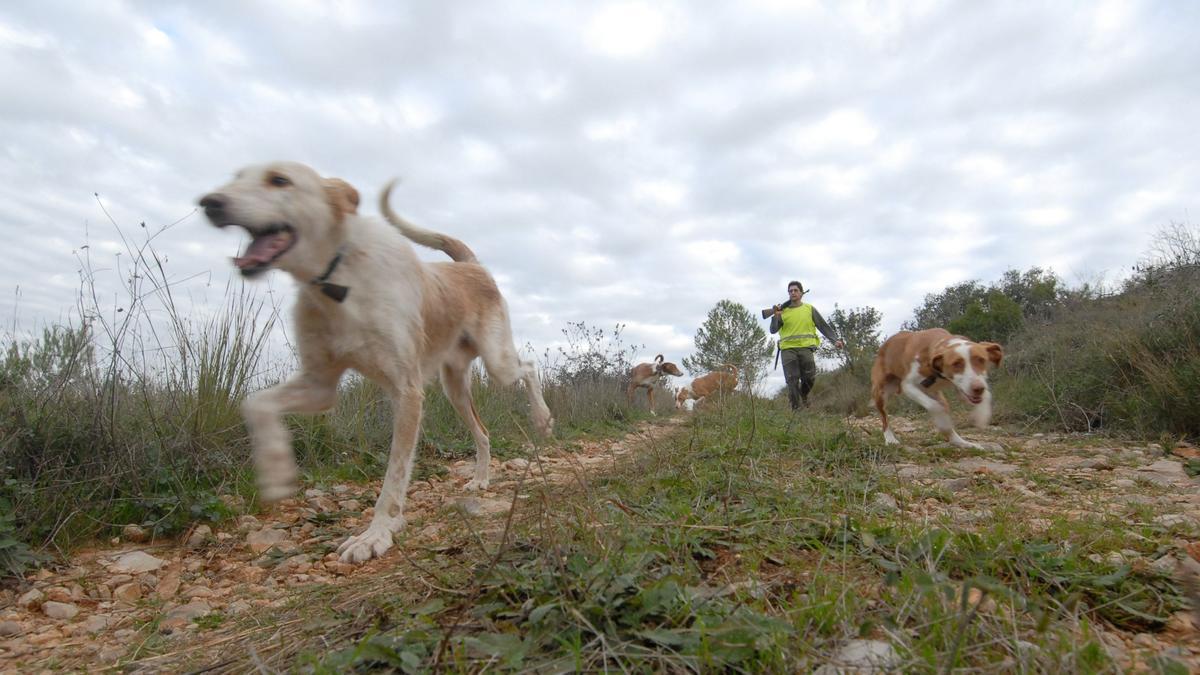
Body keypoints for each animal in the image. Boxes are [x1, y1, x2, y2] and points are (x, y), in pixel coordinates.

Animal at [198, 159, 552, 559]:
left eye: (279, 180)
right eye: (235, 178)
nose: (210, 203)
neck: (339, 280)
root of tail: (471, 266)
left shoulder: (407, 391)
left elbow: (395, 475)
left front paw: (376, 533)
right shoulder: (319, 385)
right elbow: (255, 403)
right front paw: (275, 469)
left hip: (496, 360)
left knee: (528, 368)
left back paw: (542, 418)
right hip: (454, 387)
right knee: (484, 432)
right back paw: (480, 478)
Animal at [873, 326, 1003, 446]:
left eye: (981, 360)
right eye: (956, 364)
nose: (978, 389)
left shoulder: (963, 389)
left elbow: (987, 395)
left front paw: (982, 415)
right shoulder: (908, 385)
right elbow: (934, 406)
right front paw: (943, 422)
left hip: (936, 394)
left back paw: (962, 442)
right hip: (881, 393)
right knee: (884, 419)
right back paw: (890, 439)